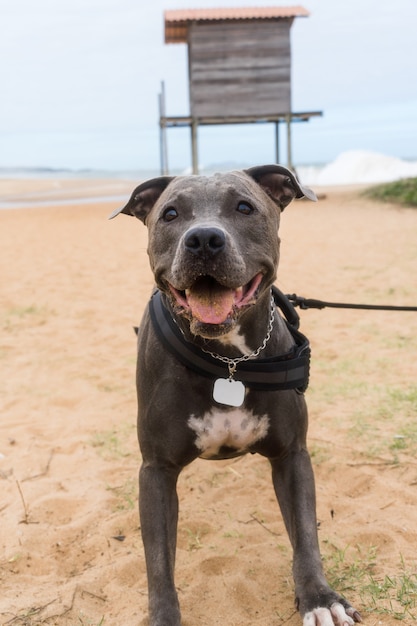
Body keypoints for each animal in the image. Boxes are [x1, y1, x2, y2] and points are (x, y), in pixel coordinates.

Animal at [110, 166, 360, 624]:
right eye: (170, 213)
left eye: (244, 207)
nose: (204, 239)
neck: (229, 361)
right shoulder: (156, 471)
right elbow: (158, 561)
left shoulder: (292, 455)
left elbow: (306, 535)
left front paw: (319, 597)